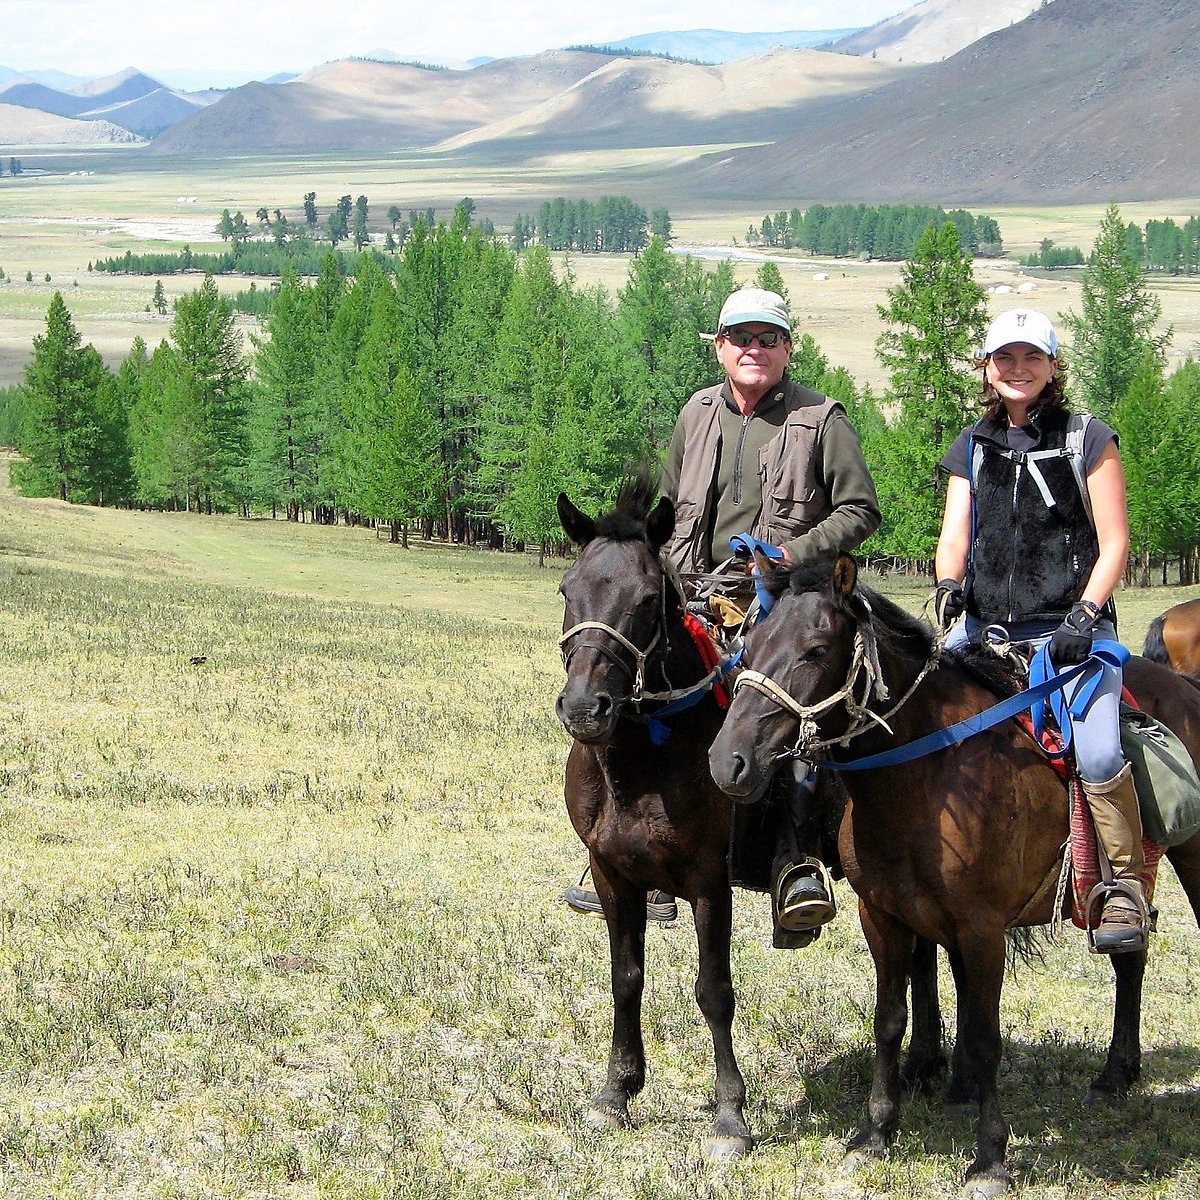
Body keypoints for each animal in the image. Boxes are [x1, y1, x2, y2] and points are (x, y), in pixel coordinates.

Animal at [549, 477, 748, 1161]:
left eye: (645, 598)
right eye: (568, 590)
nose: (586, 709)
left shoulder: (710, 882)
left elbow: (713, 991)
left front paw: (730, 1114)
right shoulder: (616, 878)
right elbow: (626, 978)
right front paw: (617, 1090)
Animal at [705, 556, 1200, 1195]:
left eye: (815, 650)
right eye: (749, 645)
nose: (728, 761)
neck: (931, 774)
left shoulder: (981, 928)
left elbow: (986, 1037)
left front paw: (990, 1157)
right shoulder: (884, 916)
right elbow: (890, 1020)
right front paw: (875, 1133)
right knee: (1129, 957)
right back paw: (1117, 1072)